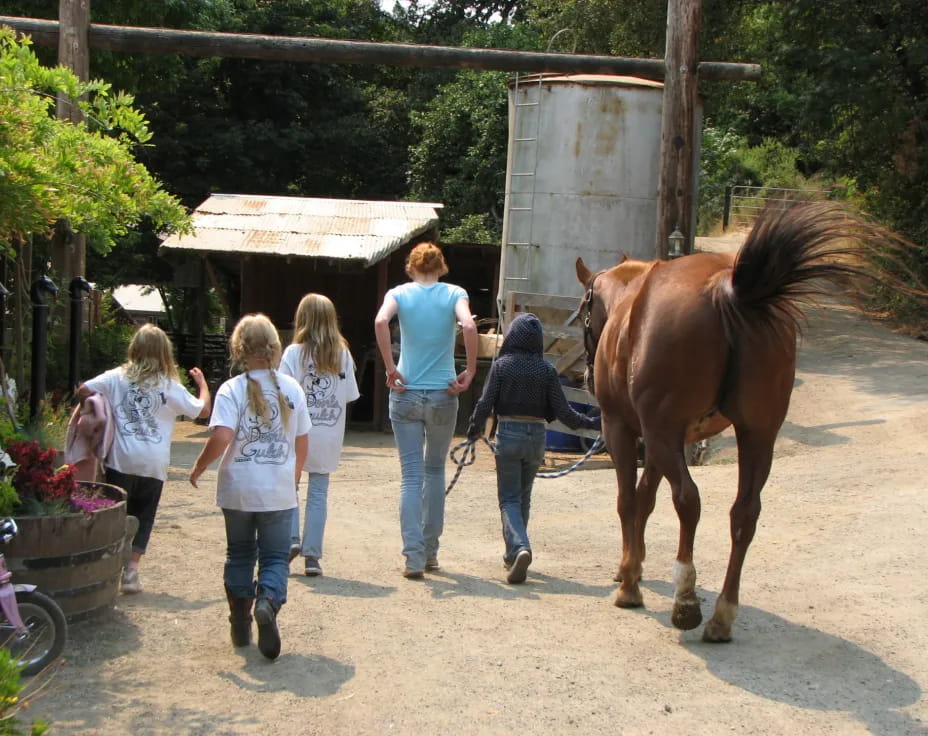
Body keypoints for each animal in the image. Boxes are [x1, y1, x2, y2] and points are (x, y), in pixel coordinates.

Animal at [580, 204, 892, 640]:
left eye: (583, 312)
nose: (586, 377)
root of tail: (726, 291)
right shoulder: (667, 441)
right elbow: (646, 498)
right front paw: (634, 566)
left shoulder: (626, 430)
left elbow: (629, 500)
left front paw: (629, 582)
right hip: (757, 436)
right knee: (745, 513)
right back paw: (722, 615)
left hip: (663, 433)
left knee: (688, 500)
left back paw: (686, 600)